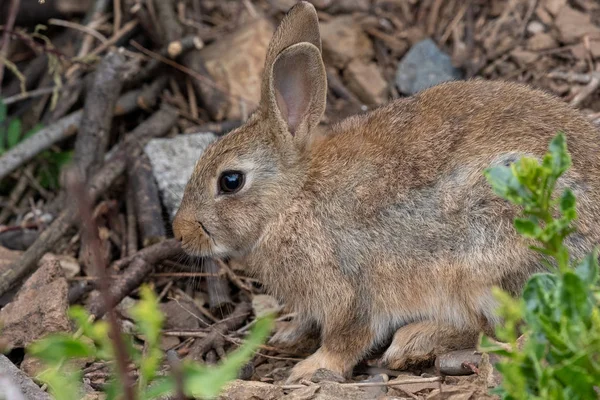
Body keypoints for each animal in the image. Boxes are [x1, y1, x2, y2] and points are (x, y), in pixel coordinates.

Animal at [172, 0, 600, 384]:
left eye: (230, 181)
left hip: (491, 259)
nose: (180, 232)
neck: (291, 200)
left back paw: (414, 341)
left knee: (496, 329)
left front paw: (309, 368)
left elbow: (347, 337)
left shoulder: (350, 289)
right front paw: (287, 332)